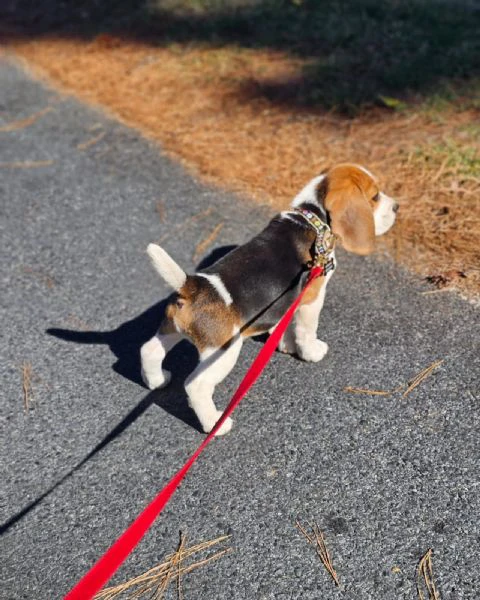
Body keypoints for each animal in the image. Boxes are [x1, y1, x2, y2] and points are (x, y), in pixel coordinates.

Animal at [141, 164, 400, 436]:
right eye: (375, 197)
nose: (397, 207)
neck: (312, 217)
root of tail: (192, 285)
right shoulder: (313, 297)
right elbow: (307, 329)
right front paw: (311, 352)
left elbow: (282, 323)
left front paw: (284, 343)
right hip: (223, 351)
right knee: (195, 385)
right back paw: (215, 423)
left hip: (171, 329)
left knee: (149, 350)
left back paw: (157, 381)